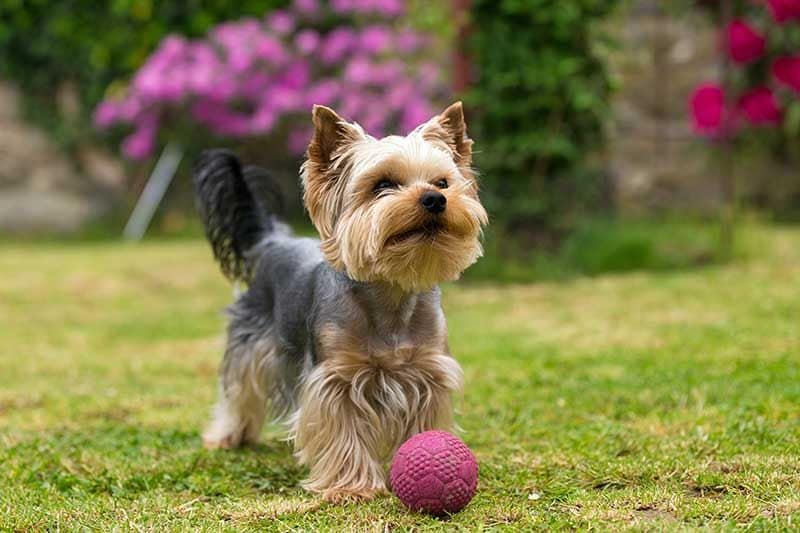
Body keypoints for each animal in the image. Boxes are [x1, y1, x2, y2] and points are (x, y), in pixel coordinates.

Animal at [192, 101, 488, 498]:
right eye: (383, 185)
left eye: (443, 182)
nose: (435, 199)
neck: (391, 291)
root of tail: (273, 238)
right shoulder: (335, 378)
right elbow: (342, 430)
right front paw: (351, 487)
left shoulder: (427, 372)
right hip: (250, 341)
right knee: (239, 388)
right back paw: (228, 436)